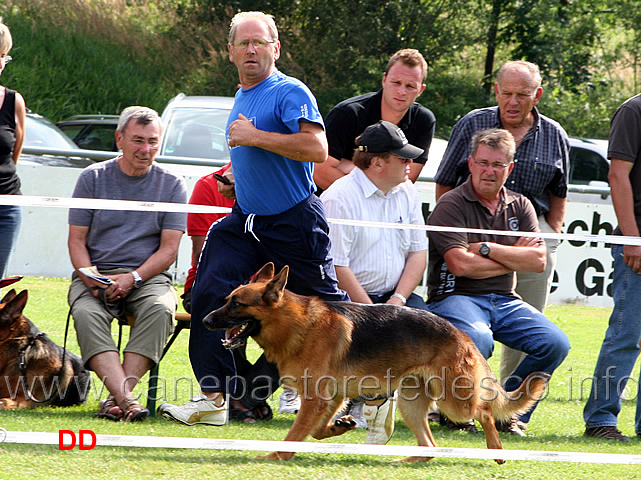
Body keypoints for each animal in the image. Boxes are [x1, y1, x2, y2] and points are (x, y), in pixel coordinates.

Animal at [202, 264, 548, 464]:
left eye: (236, 304)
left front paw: (276, 456)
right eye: (227, 300)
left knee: (485, 411)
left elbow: (296, 433)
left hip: (454, 401)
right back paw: (410, 461)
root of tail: (462, 334)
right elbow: (316, 431)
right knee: (430, 444)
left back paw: (496, 451)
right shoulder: (331, 398)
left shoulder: (316, 399)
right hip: (412, 404)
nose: (204, 320)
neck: (297, 324)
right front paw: (340, 427)